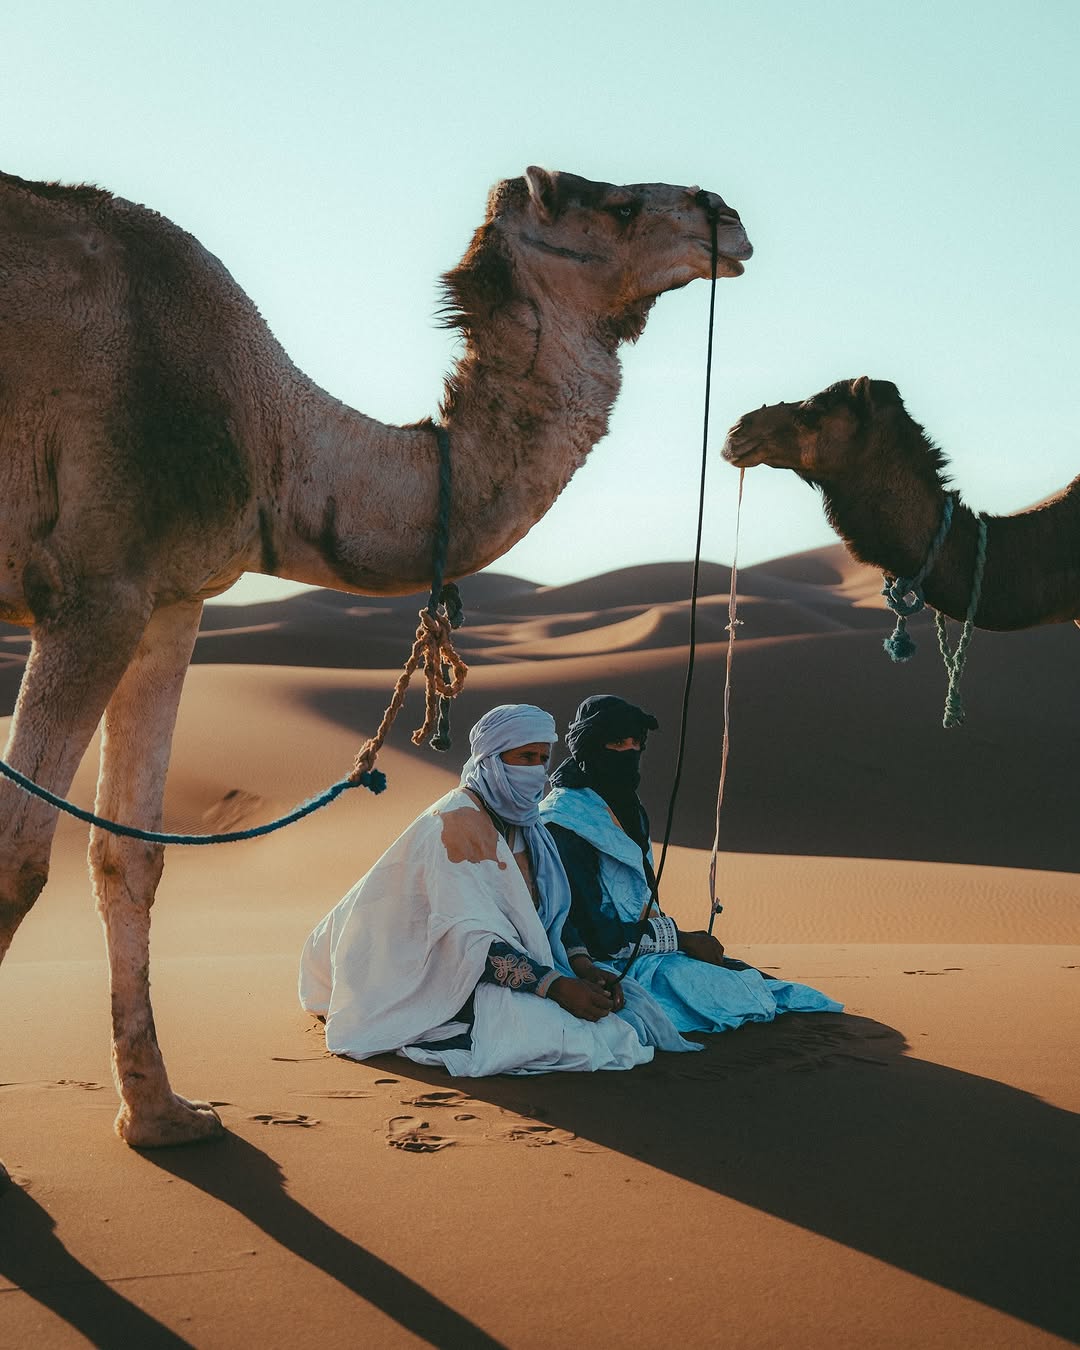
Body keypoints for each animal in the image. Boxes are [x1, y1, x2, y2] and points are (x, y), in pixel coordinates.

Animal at [0, 166, 752, 1148]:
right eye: (616, 206)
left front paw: (162, 1116)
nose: (724, 217)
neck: (264, 428)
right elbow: (16, 859)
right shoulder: (92, 591)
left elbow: (130, 859)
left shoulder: (167, 601)